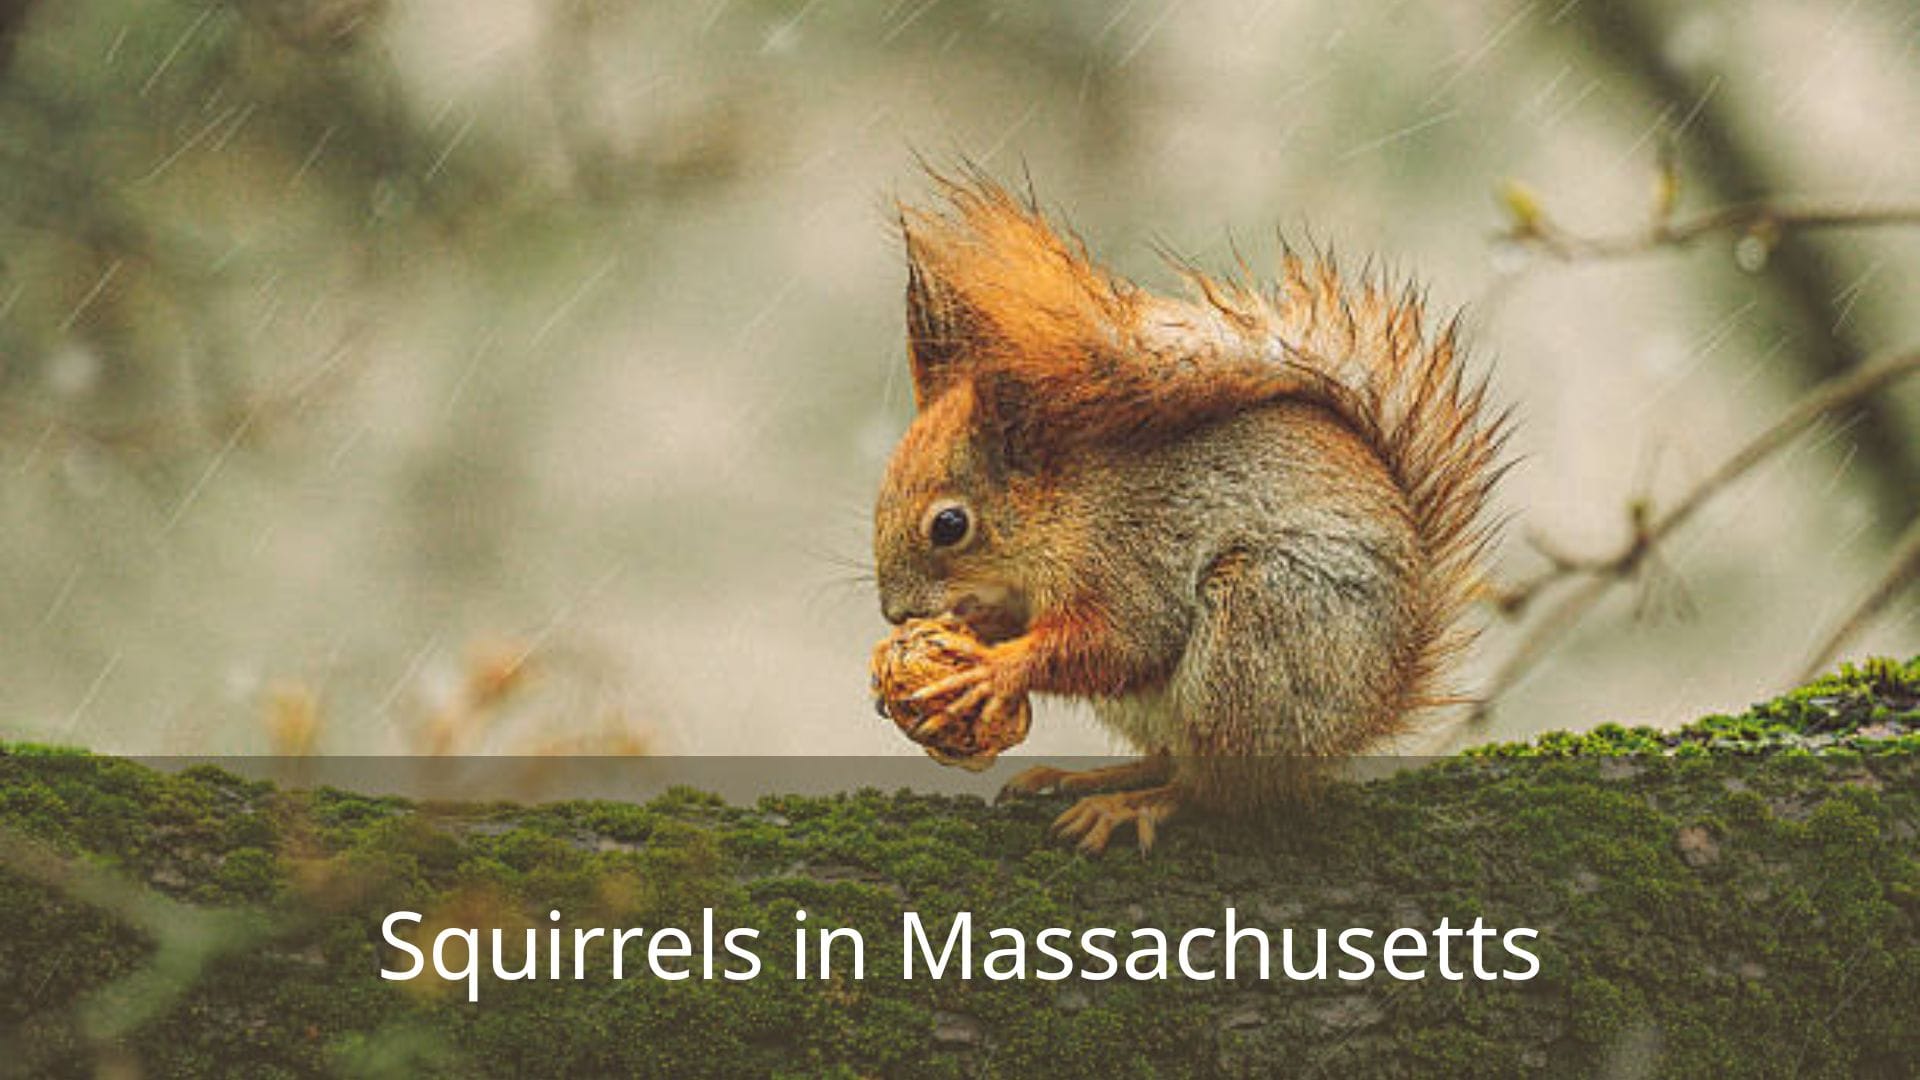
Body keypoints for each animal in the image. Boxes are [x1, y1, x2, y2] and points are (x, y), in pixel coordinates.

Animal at [872, 171, 1509, 854]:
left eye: (950, 525)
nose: (896, 613)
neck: (1062, 507)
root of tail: (1367, 713)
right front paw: (961, 636)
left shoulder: (1129, 552)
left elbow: (1122, 641)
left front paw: (992, 670)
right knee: (1168, 755)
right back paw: (1085, 776)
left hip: (1256, 636)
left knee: (1214, 789)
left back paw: (1134, 804)